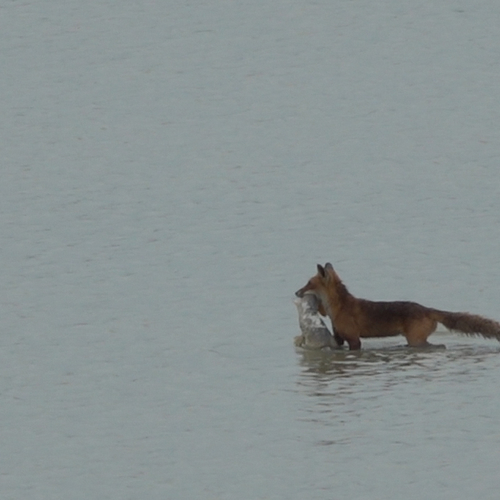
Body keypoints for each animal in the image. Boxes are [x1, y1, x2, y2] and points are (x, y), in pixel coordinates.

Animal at [294, 264, 500, 350]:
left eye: (308, 283)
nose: (296, 292)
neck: (338, 308)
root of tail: (427, 308)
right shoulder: (339, 337)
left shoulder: (354, 340)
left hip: (416, 340)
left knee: (438, 346)